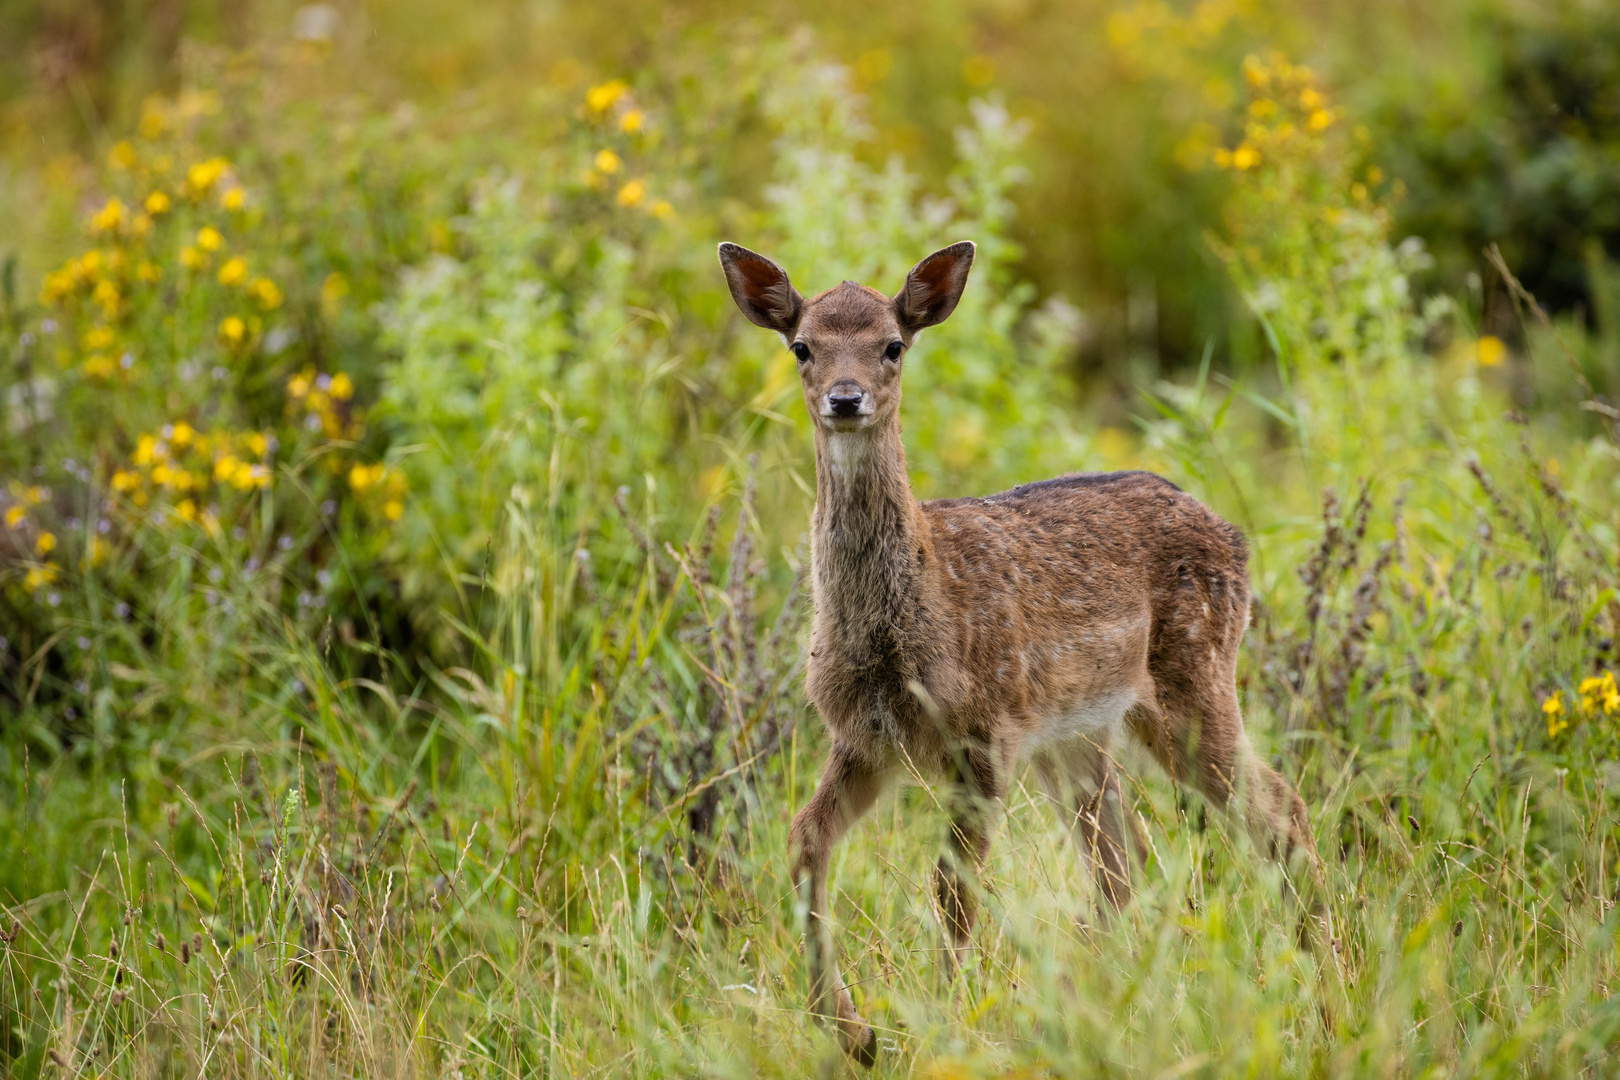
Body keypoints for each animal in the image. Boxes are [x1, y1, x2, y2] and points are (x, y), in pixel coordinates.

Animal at [716, 238, 1321, 1062]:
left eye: (893, 345)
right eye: (802, 346)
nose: (844, 398)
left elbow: (951, 888)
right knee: (1125, 859)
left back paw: (1324, 974)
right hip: (1078, 732)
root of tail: (1235, 536)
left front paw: (936, 1024)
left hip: (1194, 679)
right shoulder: (864, 737)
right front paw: (853, 1032)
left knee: (1278, 808)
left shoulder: (985, 732)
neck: (903, 620)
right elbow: (807, 839)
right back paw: (1077, 1002)